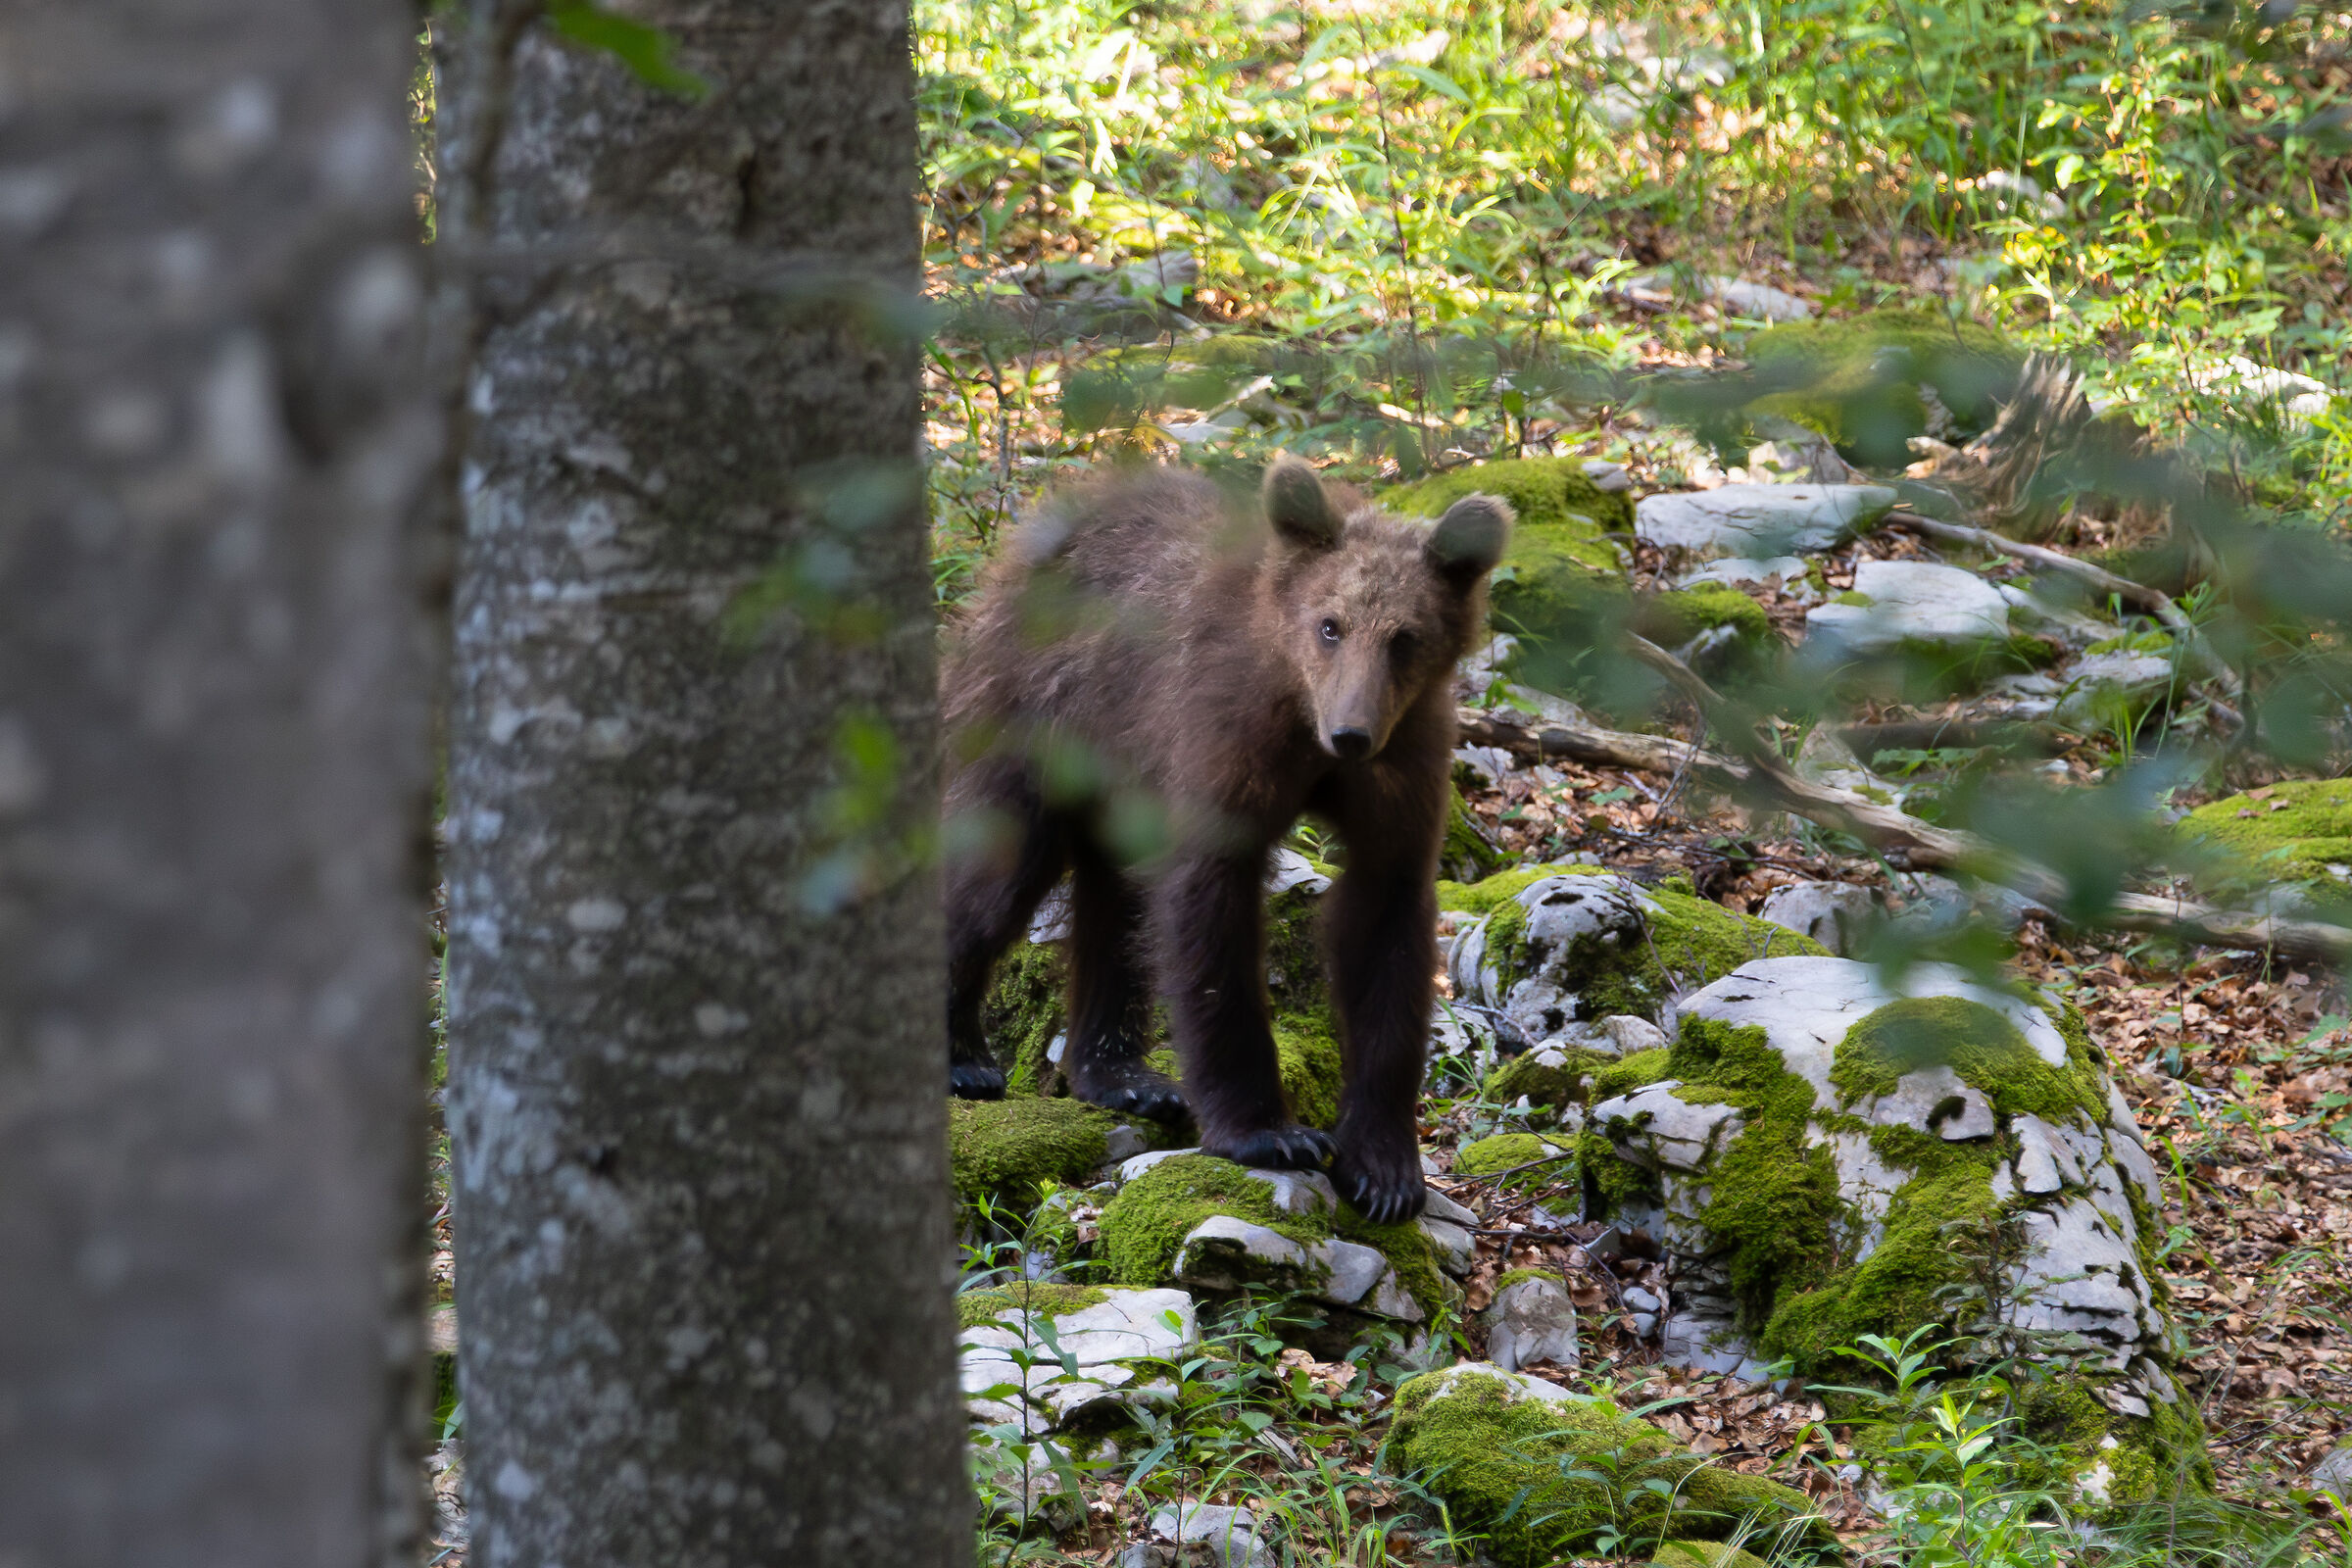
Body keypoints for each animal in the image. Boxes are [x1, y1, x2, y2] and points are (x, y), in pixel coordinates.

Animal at [939, 457, 1511, 1223]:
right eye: (1330, 625)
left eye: (1405, 636)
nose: (1351, 733)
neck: (1300, 709)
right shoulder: (1224, 733)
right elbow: (1209, 906)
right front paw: (1269, 1132)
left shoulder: (1403, 766)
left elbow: (1385, 920)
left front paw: (1386, 1169)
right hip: (1042, 710)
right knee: (996, 872)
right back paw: (965, 1056)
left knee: (1115, 902)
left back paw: (1124, 1074)